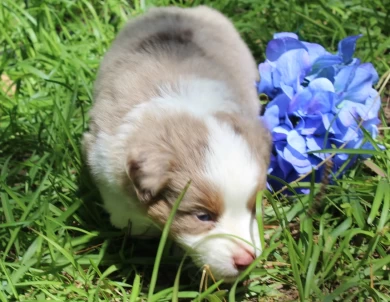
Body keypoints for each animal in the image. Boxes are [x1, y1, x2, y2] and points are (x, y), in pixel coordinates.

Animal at [82, 5, 272, 284]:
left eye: (252, 207)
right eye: (203, 216)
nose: (247, 260)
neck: (185, 112)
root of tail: (184, 9)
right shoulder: (101, 157)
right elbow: (123, 211)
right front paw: (137, 226)